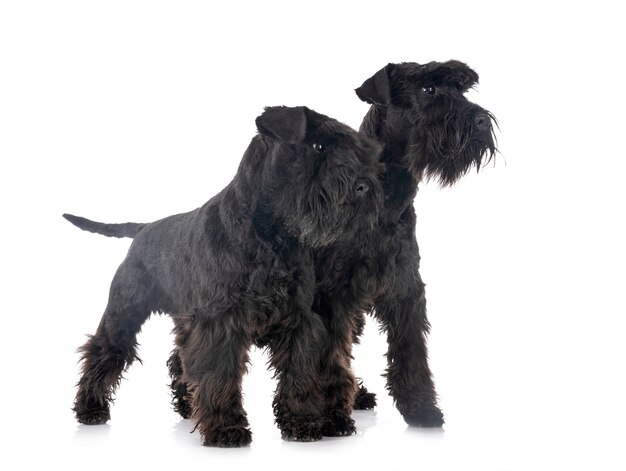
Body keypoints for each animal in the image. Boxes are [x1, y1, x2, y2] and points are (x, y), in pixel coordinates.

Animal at [66, 106, 382, 446]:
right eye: (319, 146)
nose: (365, 186)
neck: (272, 235)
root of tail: (143, 229)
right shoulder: (221, 323)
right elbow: (220, 375)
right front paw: (226, 429)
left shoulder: (298, 321)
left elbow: (298, 375)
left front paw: (302, 422)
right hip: (124, 314)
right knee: (103, 351)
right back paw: (90, 408)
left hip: (184, 319)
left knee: (179, 359)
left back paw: (186, 405)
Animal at [316, 60, 498, 426]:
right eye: (428, 89)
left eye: (461, 90)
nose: (481, 120)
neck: (386, 195)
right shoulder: (332, 294)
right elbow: (330, 354)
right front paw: (329, 417)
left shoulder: (404, 286)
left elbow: (410, 348)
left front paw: (421, 407)